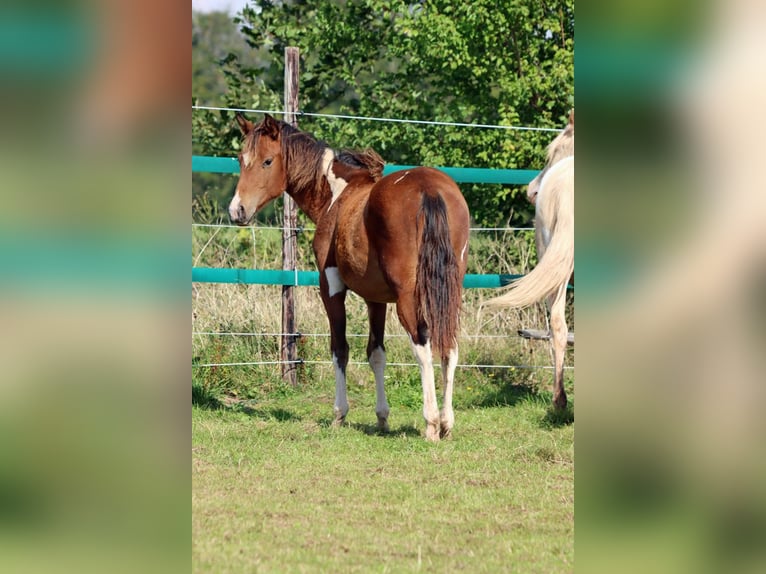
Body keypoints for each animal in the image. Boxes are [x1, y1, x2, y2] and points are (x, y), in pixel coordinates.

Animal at [230, 116, 468, 440]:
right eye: (241, 159)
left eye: (267, 161)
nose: (237, 210)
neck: (337, 196)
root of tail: (429, 189)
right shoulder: (376, 299)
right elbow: (376, 354)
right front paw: (382, 417)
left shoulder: (331, 287)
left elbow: (340, 350)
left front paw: (339, 414)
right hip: (449, 293)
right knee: (449, 347)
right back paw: (446, 423)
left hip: (409, 299)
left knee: (423, 346)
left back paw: (431, 423)